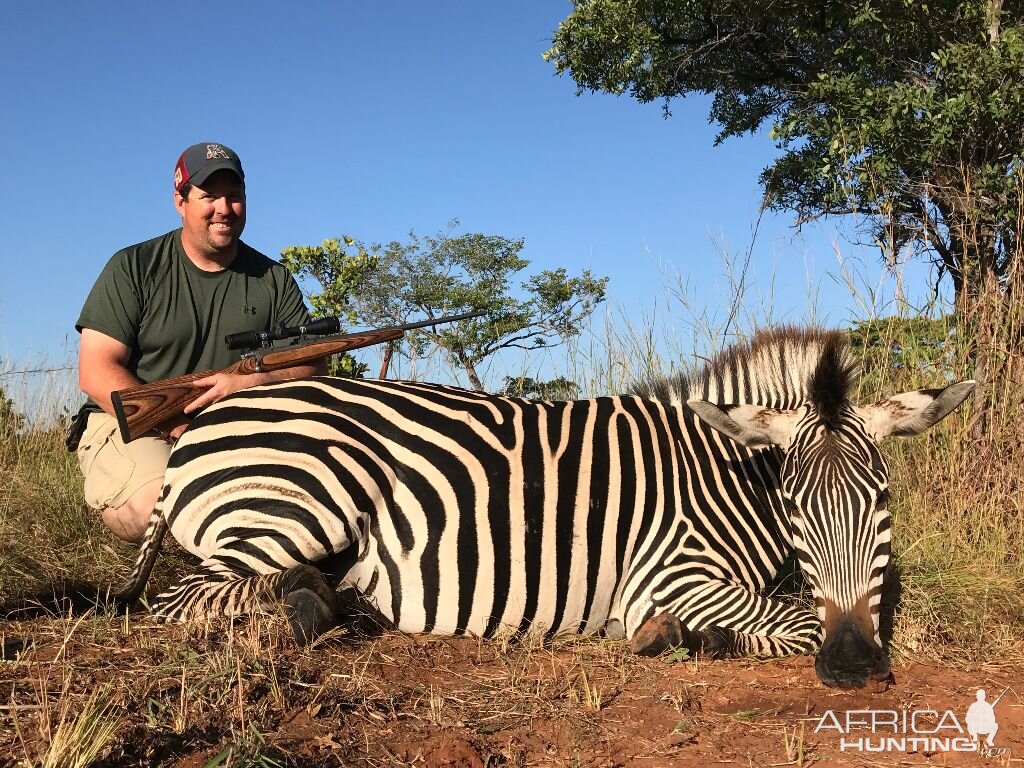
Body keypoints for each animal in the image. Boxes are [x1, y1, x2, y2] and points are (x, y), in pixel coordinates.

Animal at [116, 327, 970, 688]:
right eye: (795, 506)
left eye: (882, 502)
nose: (854, 667)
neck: (730, 476)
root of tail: (207, 416)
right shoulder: (665, 575)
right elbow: (791, 619)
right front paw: (687, 638)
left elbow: (864, 608)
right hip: (302, 503)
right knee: (184, 599)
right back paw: (306, 603)